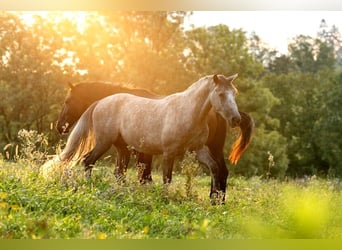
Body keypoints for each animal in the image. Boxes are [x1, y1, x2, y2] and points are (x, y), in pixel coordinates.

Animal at [56, 81, 254, 202]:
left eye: (67, 100)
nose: (60, 127)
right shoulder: (126, 149)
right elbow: (125, 173)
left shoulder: (138, 151)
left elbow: (140, 175)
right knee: (222, 170)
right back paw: (218, 200)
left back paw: (216, 199)